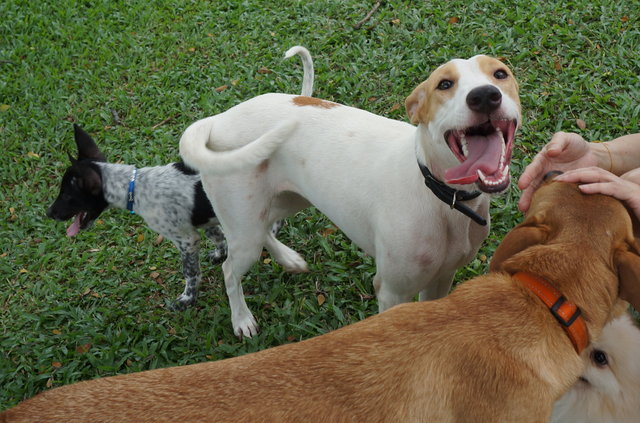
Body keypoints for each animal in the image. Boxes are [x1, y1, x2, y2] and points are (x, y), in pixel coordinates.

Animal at [179, 53, 520, 338]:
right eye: (444, 84)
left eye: (500, 73)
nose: (485, 96)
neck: (441, 197)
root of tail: (218, 119)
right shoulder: (392, 291)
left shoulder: (442, 278)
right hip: (244, 225)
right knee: (229, 270)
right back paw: (241, 318)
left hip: (288, 200)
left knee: (265, 230)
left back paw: (288, 259)